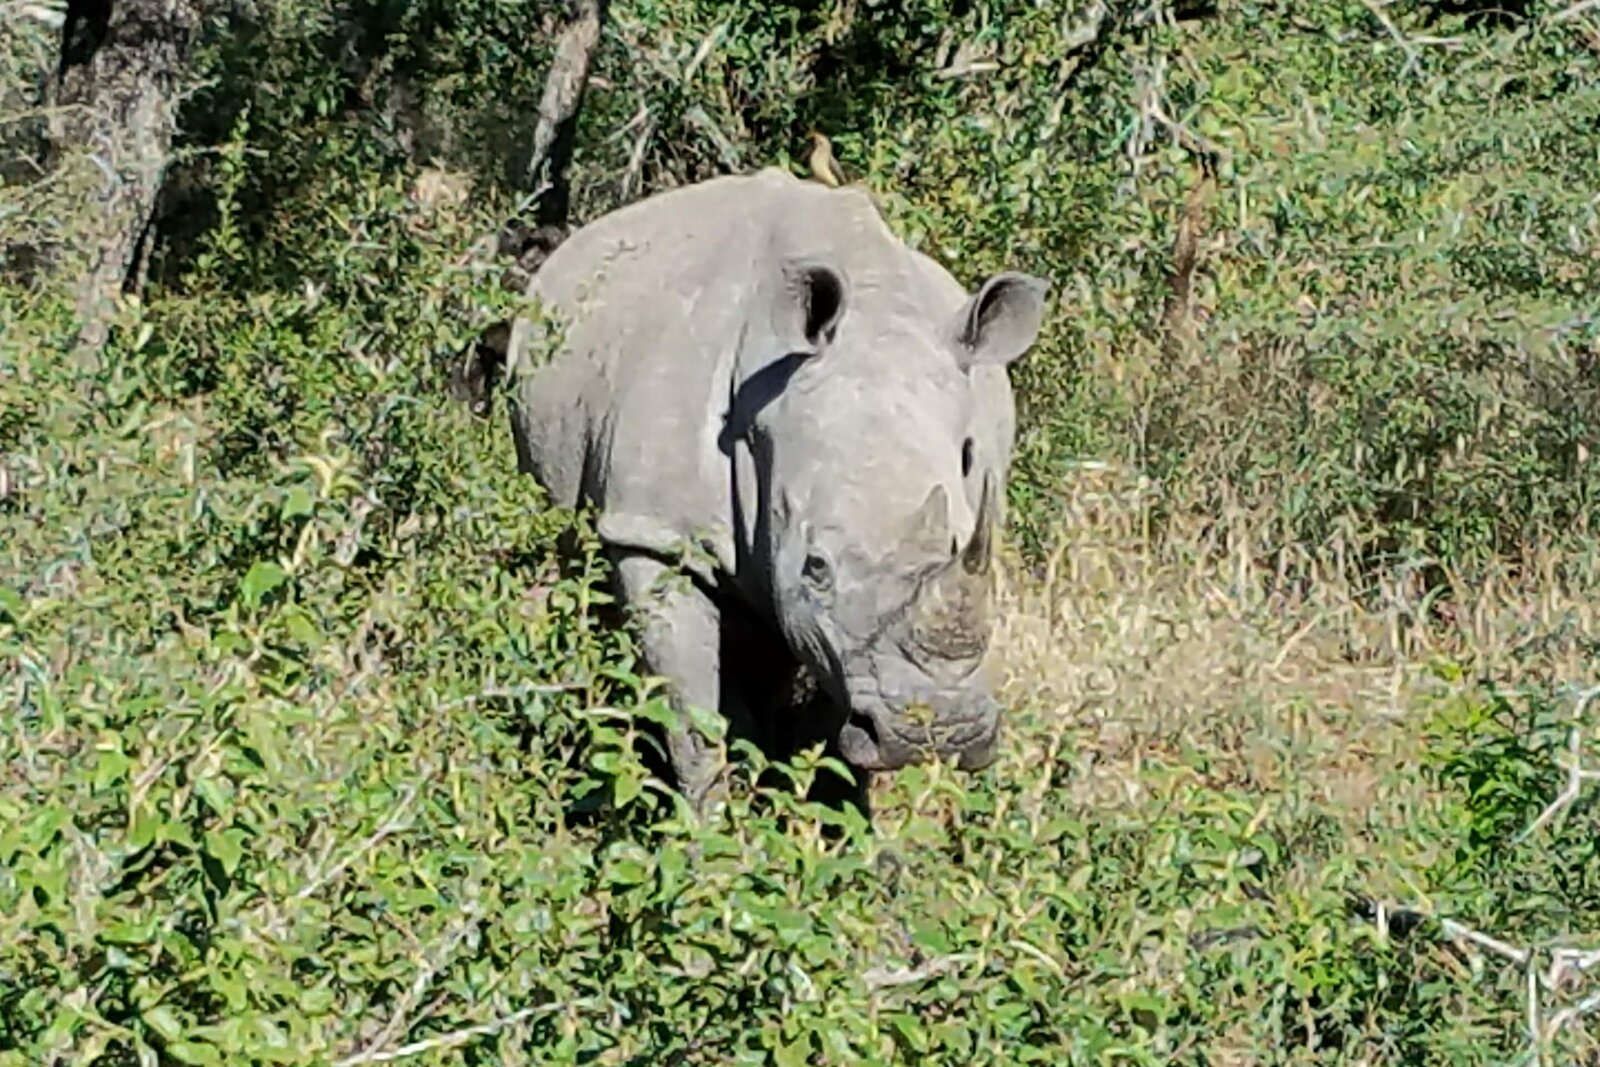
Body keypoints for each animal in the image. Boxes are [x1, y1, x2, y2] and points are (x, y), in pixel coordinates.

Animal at [502, 166, 1048, 811]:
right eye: (816, 568)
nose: (935, 734)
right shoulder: (654, 534)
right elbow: (691, 720)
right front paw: (710, 832)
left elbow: (824, 724)